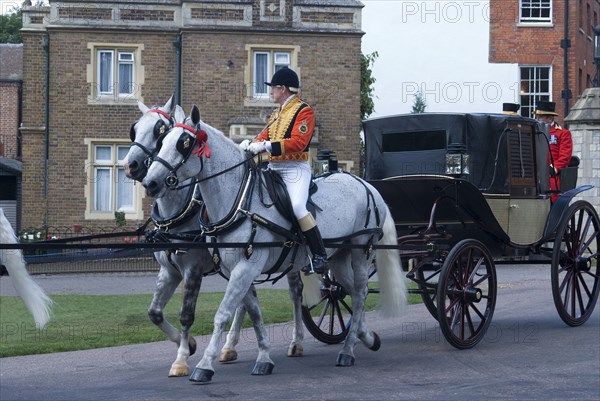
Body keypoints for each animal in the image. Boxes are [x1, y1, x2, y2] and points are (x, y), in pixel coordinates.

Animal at [125, 97, 308, 378]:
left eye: (160, 130)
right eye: (134, 129)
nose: (131, 166)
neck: (180, 210)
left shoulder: (192, 269)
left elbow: (187, 314)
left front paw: (181, 360)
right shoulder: (169, 270)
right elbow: (154, 313)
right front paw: (189, 345)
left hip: (289, 260)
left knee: (295, 292)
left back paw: (296, 341)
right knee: (245, 300)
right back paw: (229, 347)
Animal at [141, 104, 408, 382]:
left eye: (183, 143)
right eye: (162, 140)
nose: (149, 182)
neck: (240, 200)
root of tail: (367, 186)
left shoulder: (230, 268)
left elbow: (220, 314)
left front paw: (201, 364)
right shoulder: (232, 269)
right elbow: (253, 313)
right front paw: (263, 358)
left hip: (360, 252)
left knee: (360, 293)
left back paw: (346, 350)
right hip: (338, 258)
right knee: (351, 294)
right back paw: (363, 337)